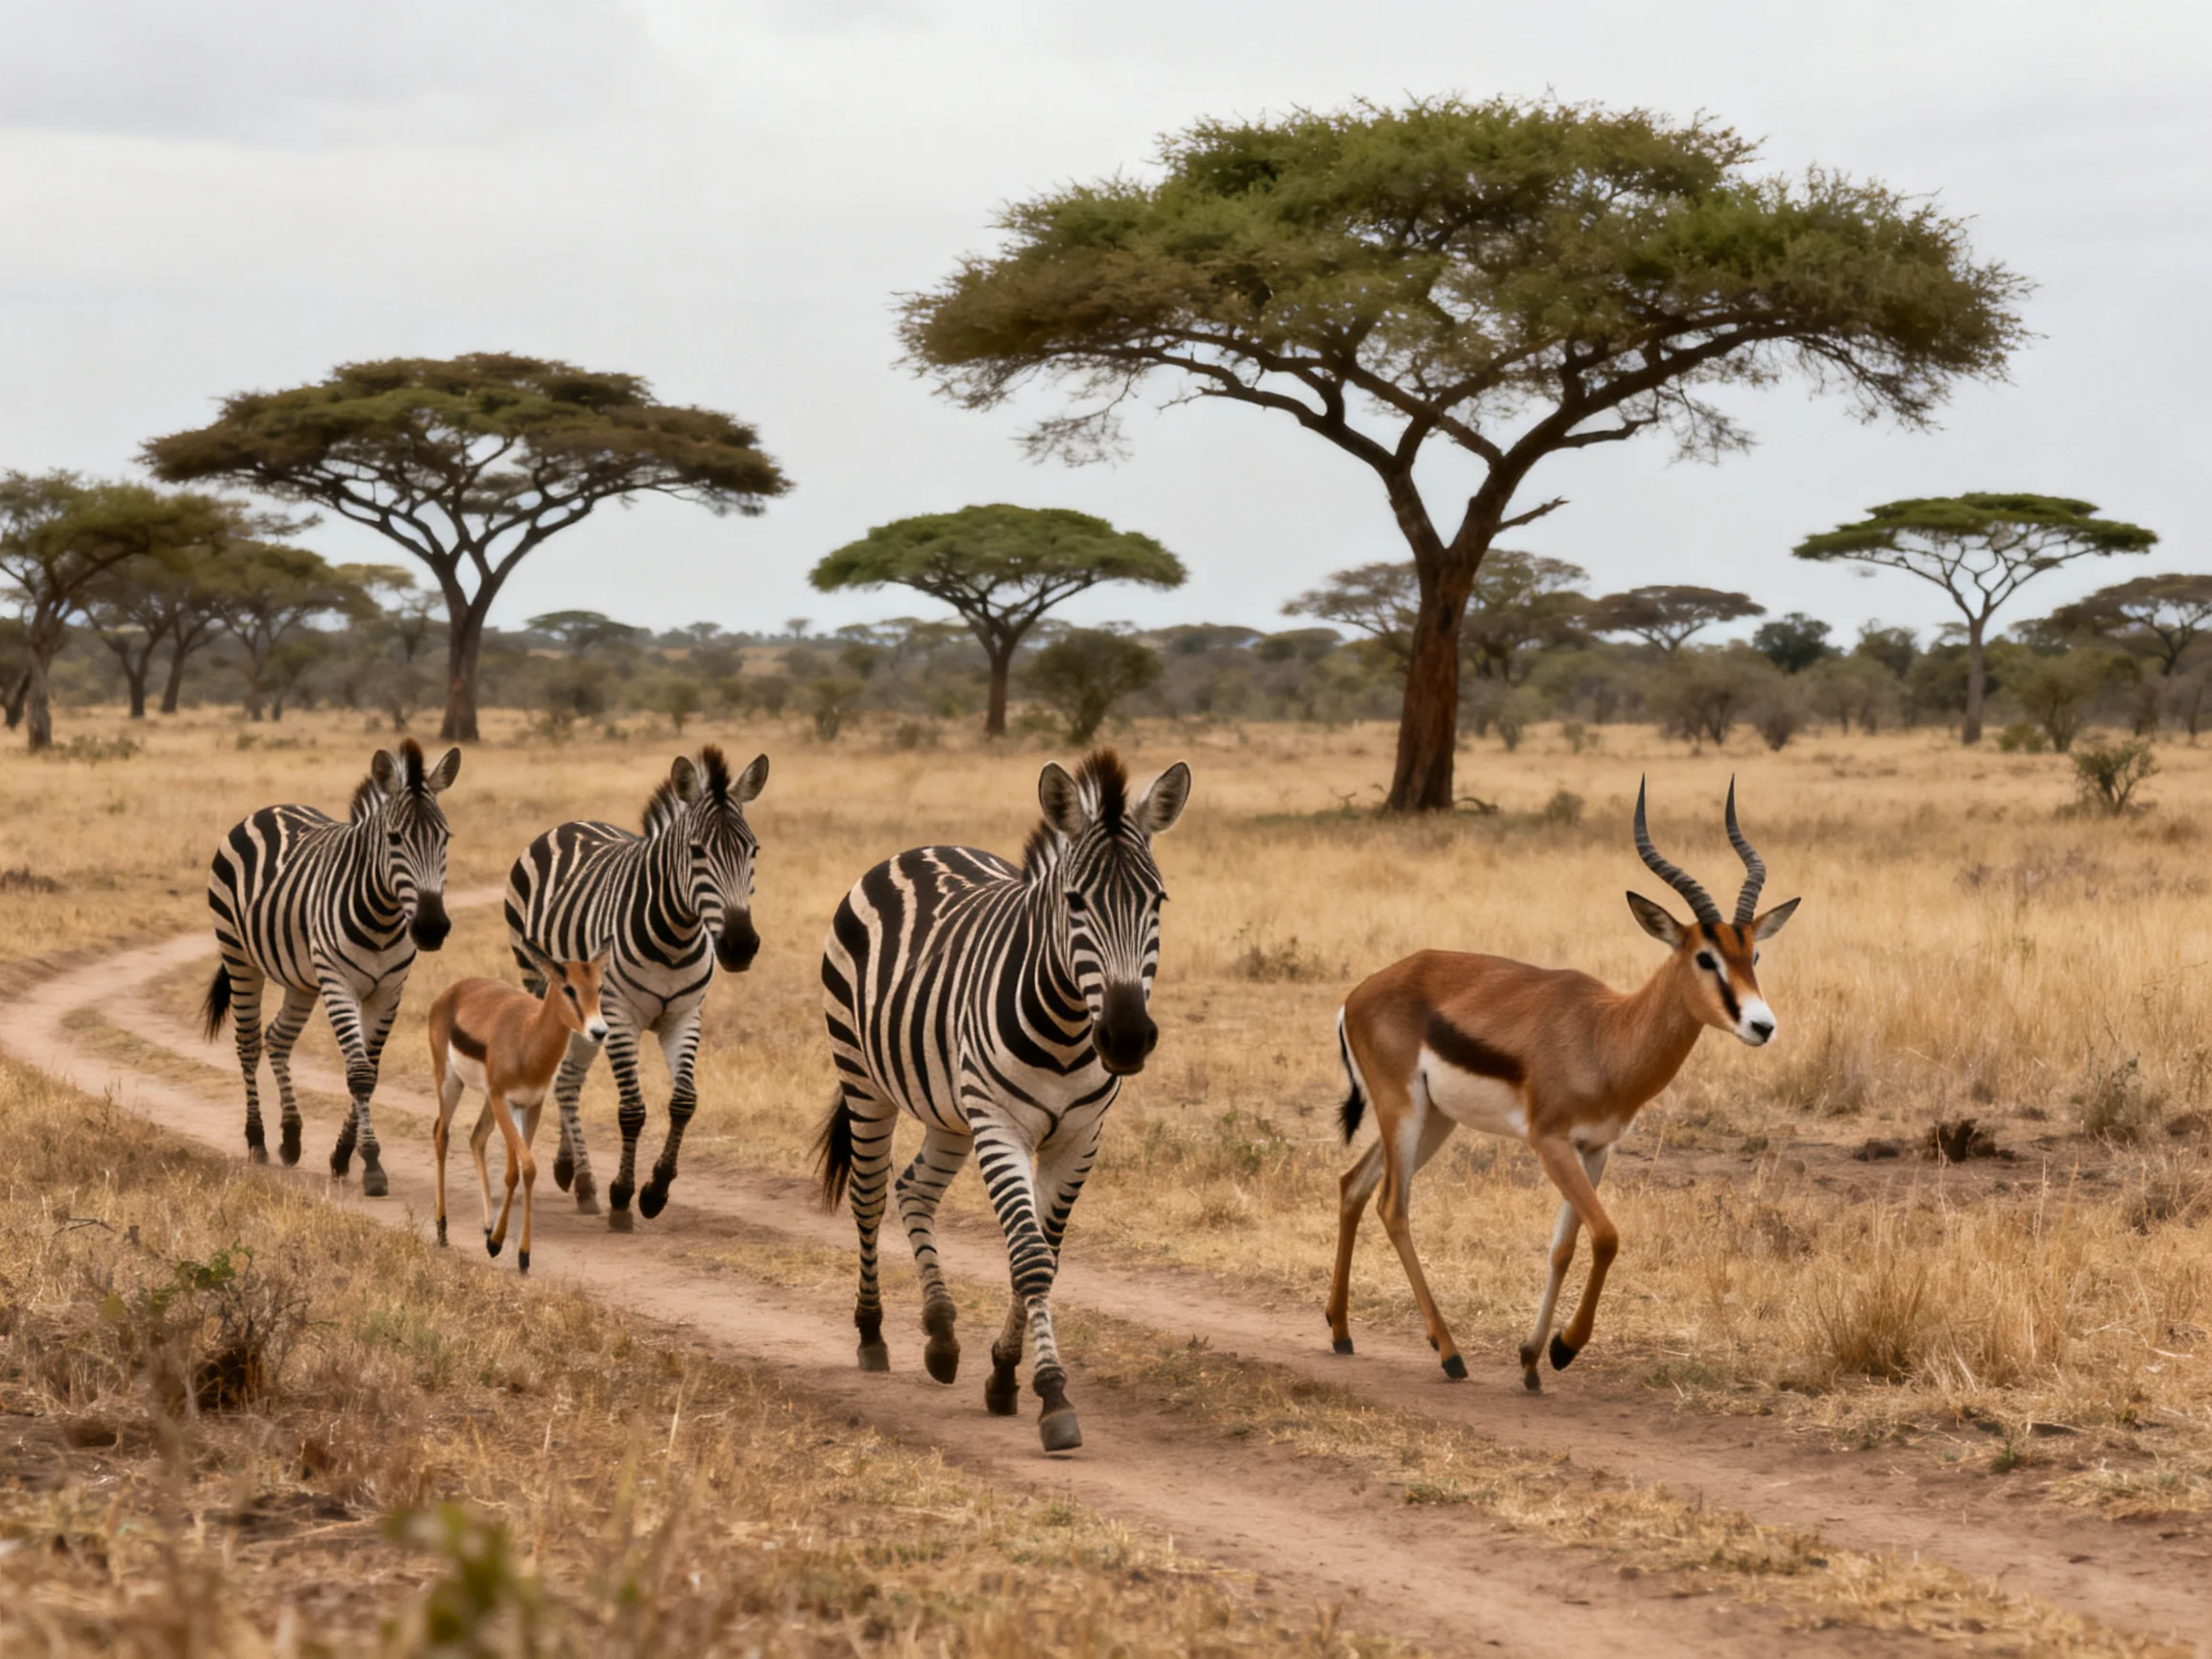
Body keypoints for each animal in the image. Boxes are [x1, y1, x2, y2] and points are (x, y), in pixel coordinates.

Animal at [201, 739, 461, 1195]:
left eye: (444, 837)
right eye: (394, 839)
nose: (431, 927)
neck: (383, 915)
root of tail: (270, 808)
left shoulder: (389, 991)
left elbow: (371, 1071)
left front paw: (343, 1154)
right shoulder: (339, 983)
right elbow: (359, 1074)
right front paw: (371, 1163)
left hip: (301, 979)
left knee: (278, 1038)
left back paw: (290, 1137)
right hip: (239, 957)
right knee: (249, 1043)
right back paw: (257, 1140)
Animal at [503, 745, 768, 1231]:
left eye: (753, 849)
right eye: (696, 851)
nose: (740, 946)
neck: (675, 935)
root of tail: (570, 824)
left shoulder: (685, 1015)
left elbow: (684, 1102)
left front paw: (655, 1190)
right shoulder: (620, 1013)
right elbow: (632, 1110)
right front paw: (623, 1196)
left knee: (568, 1078)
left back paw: (578, 1179)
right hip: (541, 982)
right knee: (556, 1072)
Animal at [816, 748, 1191, 1453]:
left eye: (1157, 900)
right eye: (1075, 902)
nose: (1127, 1037)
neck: (1069, 1026)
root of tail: (922, 848)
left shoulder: (1079, 1138)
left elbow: (1044, 1254)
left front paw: (1004, 1373)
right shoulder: (1001, 1124)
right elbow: (1031, 1259)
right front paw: (1051, 1395)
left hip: (948, 1109)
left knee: (914, 1189)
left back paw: (940, 1333)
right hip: (865, 1079)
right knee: (871, 1194)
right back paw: (873, 1334)